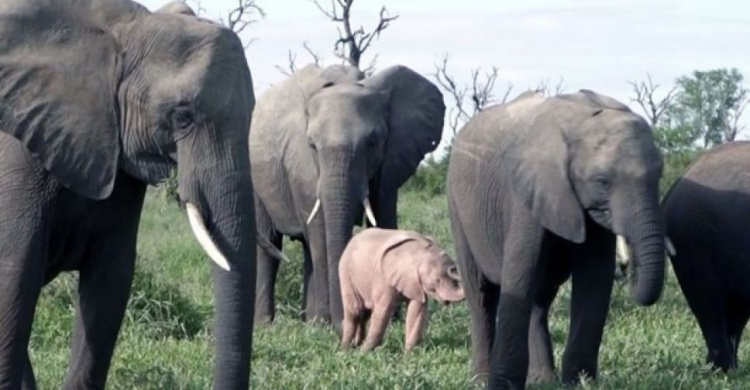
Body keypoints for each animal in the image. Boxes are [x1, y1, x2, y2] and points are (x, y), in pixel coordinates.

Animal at [251, 63, 446, 330]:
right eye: (312, 145)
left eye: (373, 142)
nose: (349, 320)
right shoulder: (302, 165)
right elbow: (320, 231)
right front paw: (327, 325)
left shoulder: (389, 161)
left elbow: (384, 220)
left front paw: (391, 319)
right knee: (271, 246)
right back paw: (269, 325)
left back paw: (309, 322)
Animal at [450, 90, 668, 388]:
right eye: (602, 181)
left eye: (660, 175)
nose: (627, 268)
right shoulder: (526, 194)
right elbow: (519, 275)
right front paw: (502, 385)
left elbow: (595, 278)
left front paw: (579, 381)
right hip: (459, 210)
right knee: (481, 295)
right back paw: (481, 379)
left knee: (539, 299)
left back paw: (543, 378)